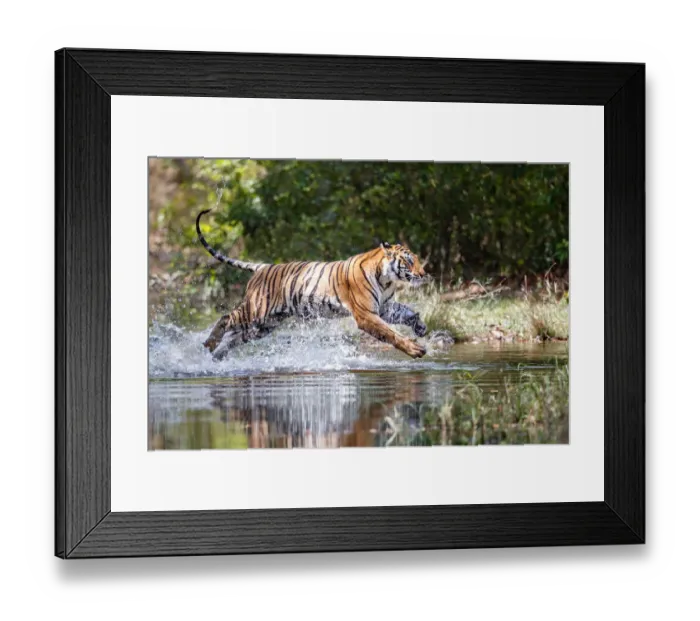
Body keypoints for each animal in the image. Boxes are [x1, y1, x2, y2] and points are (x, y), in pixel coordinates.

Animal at [196, 209, 430, 360]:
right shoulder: (366, 314)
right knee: (226, 318)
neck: (386, 280)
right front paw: (414, 349)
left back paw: (217, 356)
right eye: (409, 261)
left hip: (265, 325)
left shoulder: (384, 307)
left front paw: (420, 326)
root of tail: (263, 267)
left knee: (235, 338)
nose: (423, 273)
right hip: (256, 311)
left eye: (417, 259)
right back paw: (209, 344)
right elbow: (391, 333)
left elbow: (408, 312)